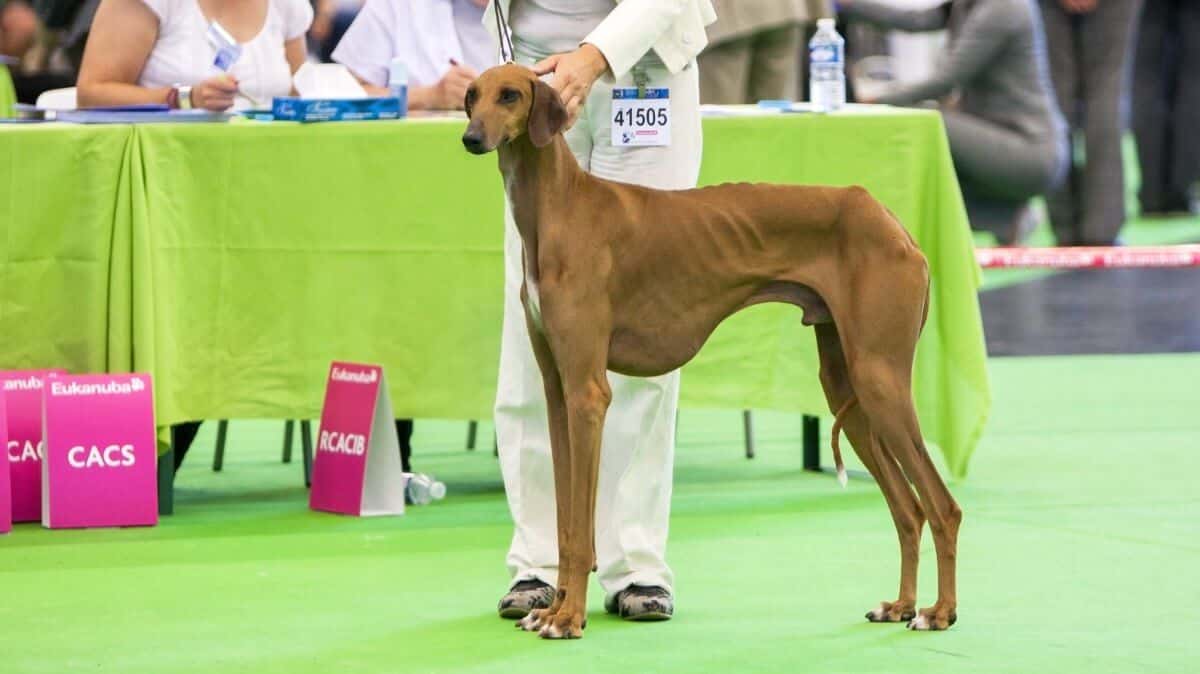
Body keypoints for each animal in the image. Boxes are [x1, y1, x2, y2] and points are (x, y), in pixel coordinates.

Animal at [463, 62, 960, 633]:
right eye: (472, 96)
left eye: (510, 95)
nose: (471, 137)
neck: (558, 209)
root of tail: (890, 220)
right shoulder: (558, 392)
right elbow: (568, 523)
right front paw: (553, 610)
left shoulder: (587, 393)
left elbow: (581, 528)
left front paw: (568, 619)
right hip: (848, 390)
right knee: (909, 509)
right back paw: (901, 605)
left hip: (880, 381)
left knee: (942, 506)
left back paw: (940, 611)